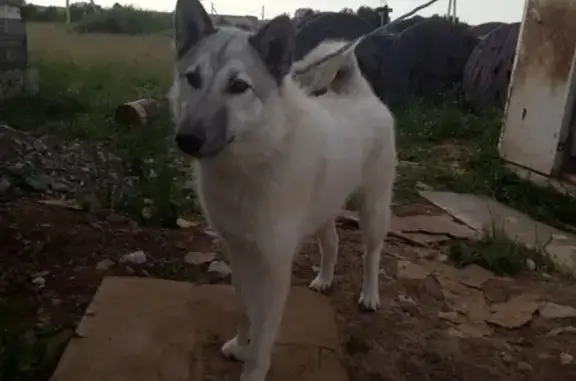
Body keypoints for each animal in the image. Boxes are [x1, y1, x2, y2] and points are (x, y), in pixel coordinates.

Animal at [169, 1, 398, 378]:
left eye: (238, 86)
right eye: (193, 78)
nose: (187, 139)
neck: (253, 162)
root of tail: (359, 94)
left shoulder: (274, 268)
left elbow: (264, 335)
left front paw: (252, 368)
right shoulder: (239, 253)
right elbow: (244, 309)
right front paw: (240, 345)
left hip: (373, 209)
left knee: (372, 255)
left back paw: (369, 295)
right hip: (323, 208)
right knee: (332, 242)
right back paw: (324, 279)